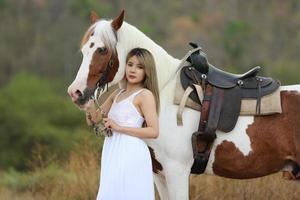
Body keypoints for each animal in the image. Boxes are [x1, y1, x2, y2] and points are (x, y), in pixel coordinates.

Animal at [67, 10, 300, 200]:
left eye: (102, 50)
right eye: (83, 50)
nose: (76, 92)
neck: (163, 93)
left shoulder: (176, 171)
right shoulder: (160, 174)